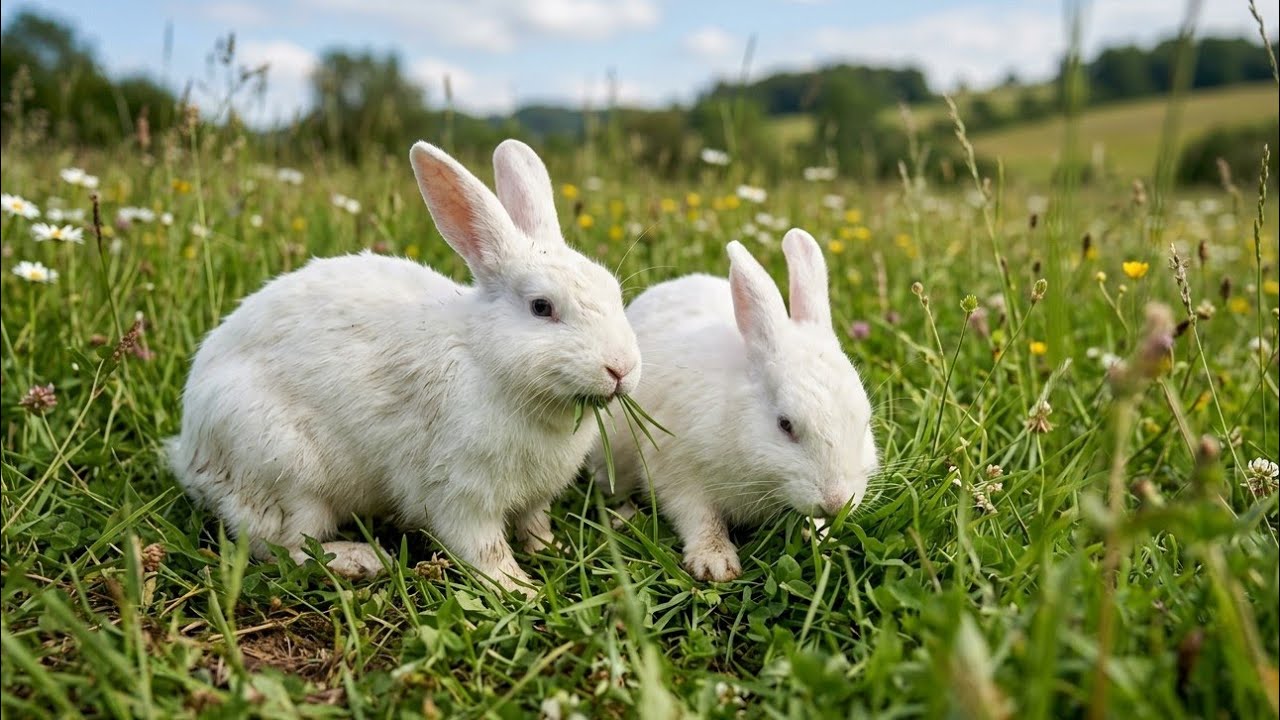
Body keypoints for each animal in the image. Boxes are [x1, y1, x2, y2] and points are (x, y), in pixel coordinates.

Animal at [166, 139, 641, 593]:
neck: (484, 357)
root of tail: (189, 451)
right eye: (542, 307)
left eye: (613, 290)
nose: (621, 369)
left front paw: (553, 549)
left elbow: (534, 525)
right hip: (288, 474)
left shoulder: (533, 498)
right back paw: (363, 560)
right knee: (285, 546)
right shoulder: (460, 494)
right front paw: (521, 590)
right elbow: (484, 549)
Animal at [596, 229, 877, 582]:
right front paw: (714, 563)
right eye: (785, 424)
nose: (837, 502)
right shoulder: (676, 469)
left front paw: (820, 534)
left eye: (864, 423)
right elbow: (698, 516)